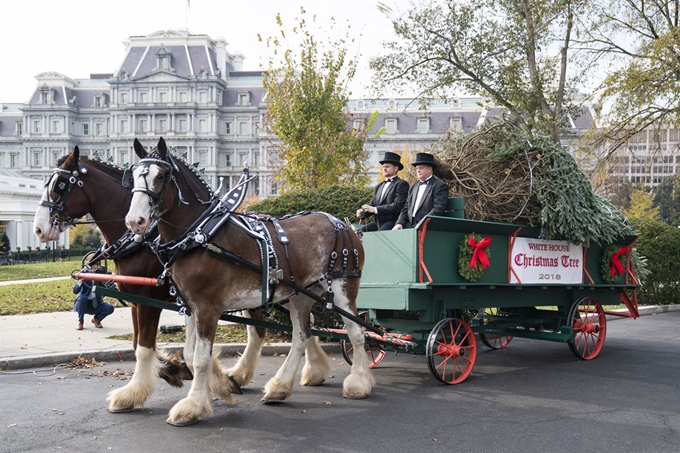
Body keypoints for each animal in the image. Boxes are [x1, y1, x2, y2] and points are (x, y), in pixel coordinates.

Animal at [32, 147, 266, 414]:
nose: (38, 229)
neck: (142, 241)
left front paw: (136, 391)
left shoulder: (152, 301)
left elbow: (145, 348)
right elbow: (140, 344)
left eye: (59, 185)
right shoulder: (140, 301)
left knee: (258, 330)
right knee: (257, 329)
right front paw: (178, 369)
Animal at [125, 137, 374, 424]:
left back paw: (358, 382)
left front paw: (193, 405)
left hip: (344, 289)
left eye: (161, 176)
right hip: (301, 294)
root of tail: (343, 224)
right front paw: (222, 385)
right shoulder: (190, 305)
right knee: (302, 335)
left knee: (356, 333)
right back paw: (280, 387)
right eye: (132, 175)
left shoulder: (208, 307)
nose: (135, 221)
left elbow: (200, 358)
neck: (200, 234)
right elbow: (189, 353)